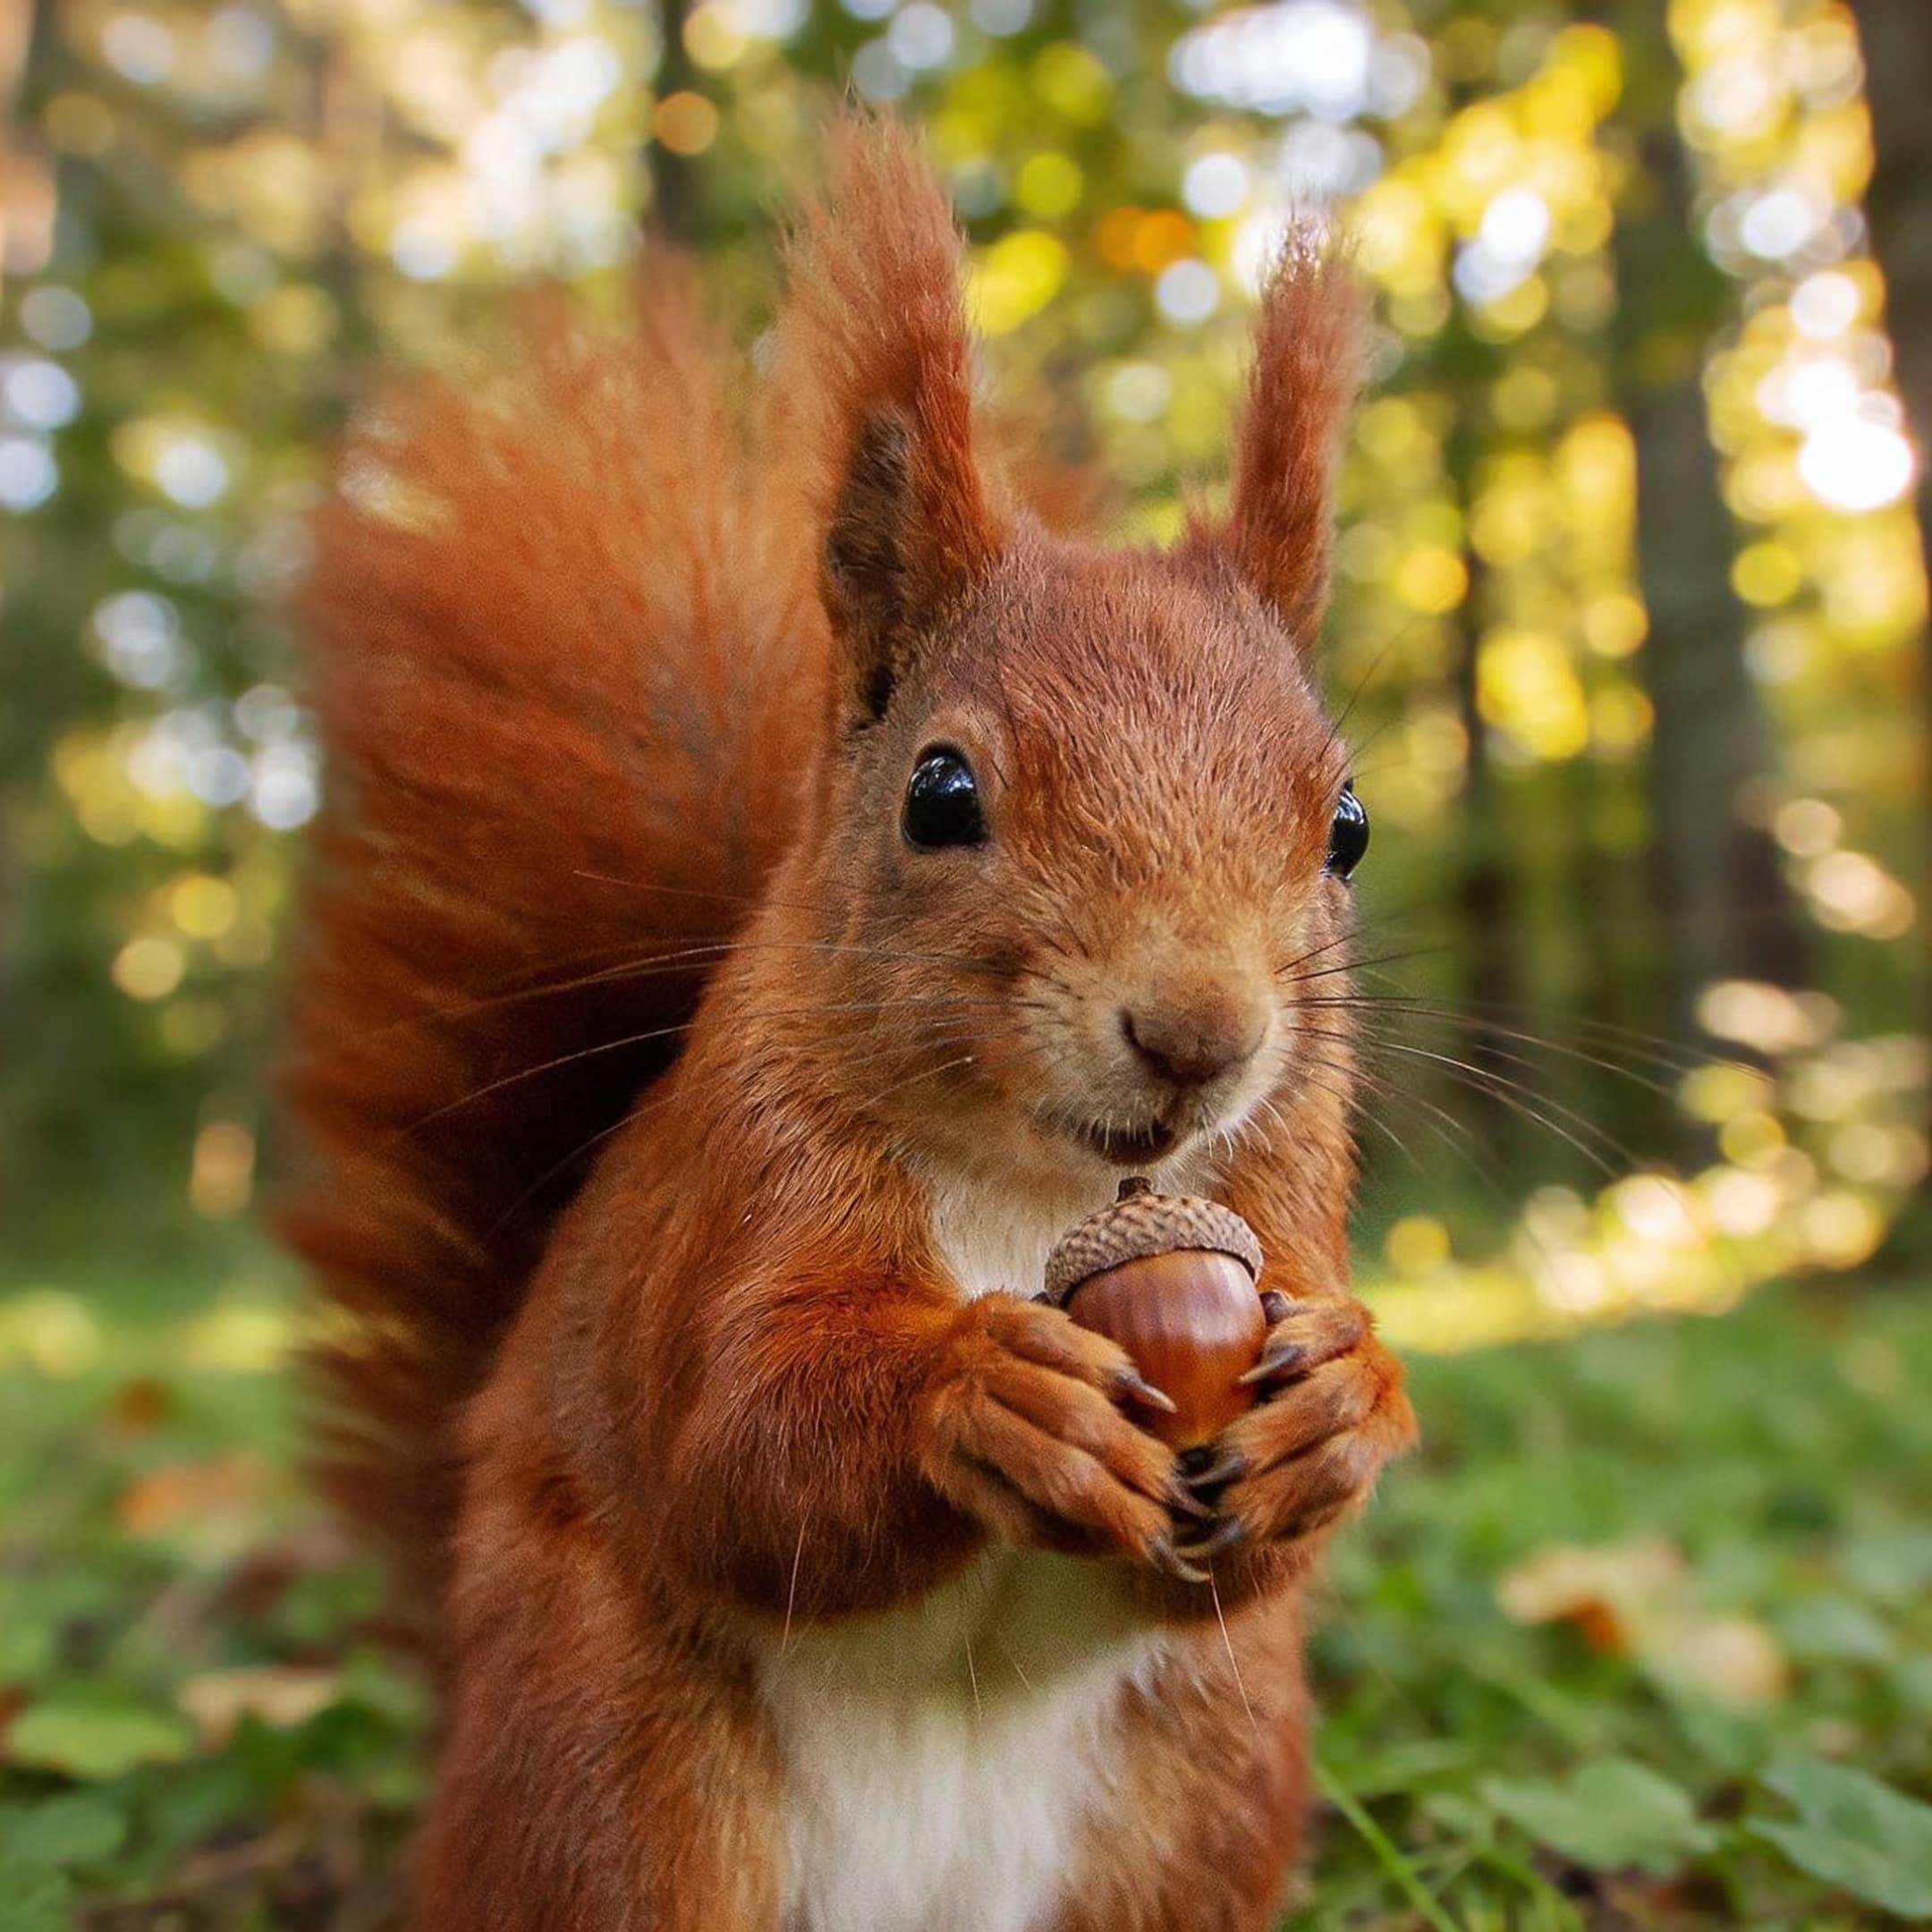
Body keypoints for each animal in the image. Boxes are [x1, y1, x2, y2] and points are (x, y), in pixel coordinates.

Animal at [279, 117, 1416, 1932]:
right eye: (940, 794)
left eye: (1352, 826)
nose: (1198, 1036)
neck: (1042, 1191)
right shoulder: (735, 1190)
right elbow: (737, 1440)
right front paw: (984, 1393)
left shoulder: (1283, 1200)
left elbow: (1255, 1544)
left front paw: (1348, 1403)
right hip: (613, 1775)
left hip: (1206, 1782)